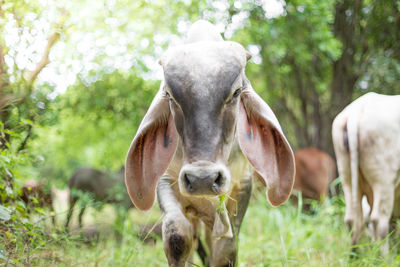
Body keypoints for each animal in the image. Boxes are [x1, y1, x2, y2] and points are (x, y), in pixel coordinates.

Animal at [126, 21, 296, 267]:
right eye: (170, 95)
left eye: (236, 92)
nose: (202, 179)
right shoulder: (165, 180)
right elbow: (177, 235)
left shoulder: (241, 185)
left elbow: (227, 247)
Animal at [332, 93, 400, 254]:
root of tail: (356, 110)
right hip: (384, 180)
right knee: (379, 220)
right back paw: (384, 256)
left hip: (347, 177)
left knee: (353, 219)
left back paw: (355, 254)